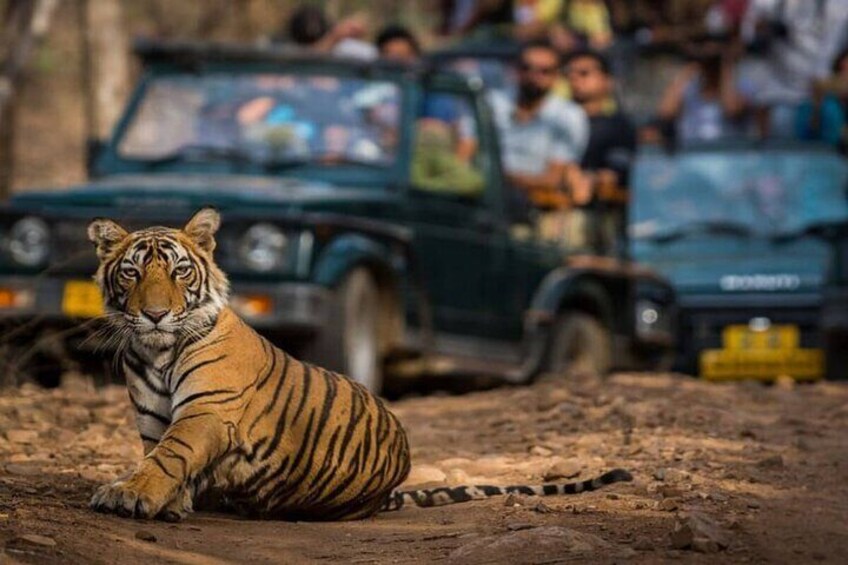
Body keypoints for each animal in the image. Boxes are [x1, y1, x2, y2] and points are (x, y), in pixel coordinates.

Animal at [86, 207, 632, 520]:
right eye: (132, 272)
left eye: (179, 271)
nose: (155, 314)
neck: (156, 351)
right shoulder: (153, 419)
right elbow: (161, 455)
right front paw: (166, 501)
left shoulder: (207, 411)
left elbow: (170, 456)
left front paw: (131, 495)